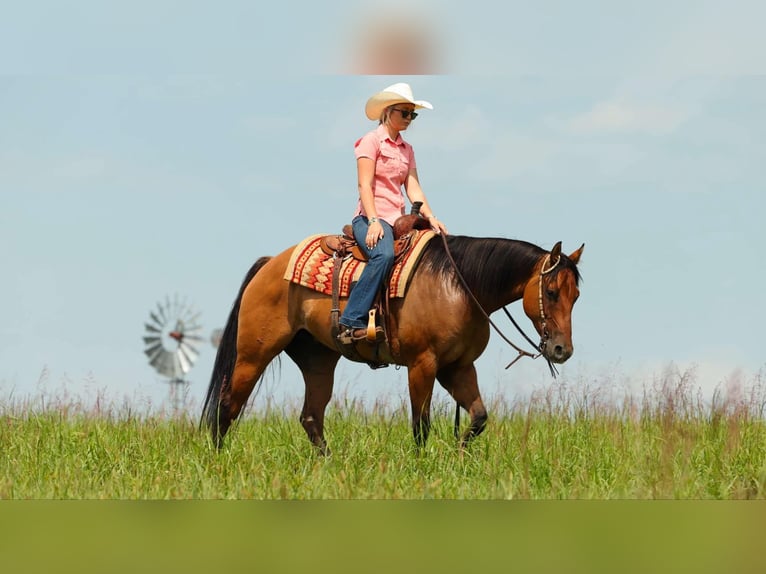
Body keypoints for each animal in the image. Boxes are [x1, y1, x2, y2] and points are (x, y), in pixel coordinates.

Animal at [201, 232, 584, 454]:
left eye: (576, 296)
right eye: (551, 292)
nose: (562, 351)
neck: (458, 284)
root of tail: (269, 264)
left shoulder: (457, 367)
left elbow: (478, 418)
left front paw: (458, 456)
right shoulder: (422, 364)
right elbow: (421, 425)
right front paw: (422, 467)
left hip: (318, 360)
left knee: (311, 416)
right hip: (254, 354)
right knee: (227, 406)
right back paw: (219, 461)